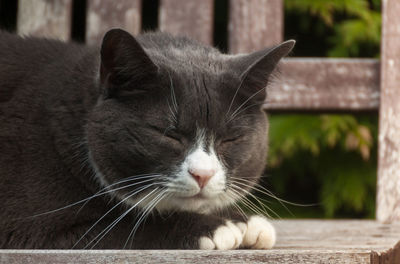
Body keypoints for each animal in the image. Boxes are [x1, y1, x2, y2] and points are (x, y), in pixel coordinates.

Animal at [0, 28, 294, 250]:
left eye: (230, 139)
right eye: (168, 134)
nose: (203, 175)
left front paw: (245, 222)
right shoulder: (30, 224)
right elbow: (119, 227)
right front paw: (218, 226)